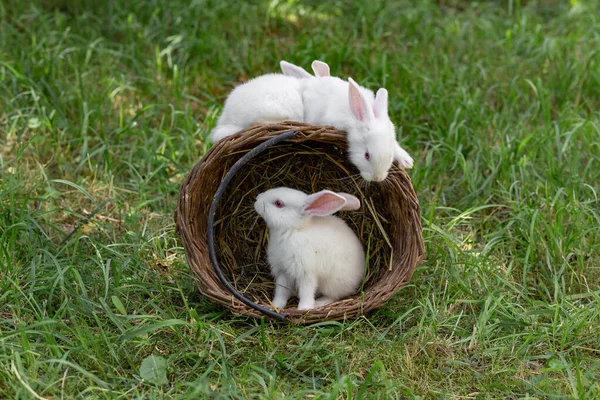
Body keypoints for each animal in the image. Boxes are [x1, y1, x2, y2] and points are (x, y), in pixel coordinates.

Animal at [207, 59, 412, 181]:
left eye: (389, 157)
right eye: (367, 155)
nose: (378, 178)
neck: (354, 116)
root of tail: (225, 119)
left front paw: (406, 161)